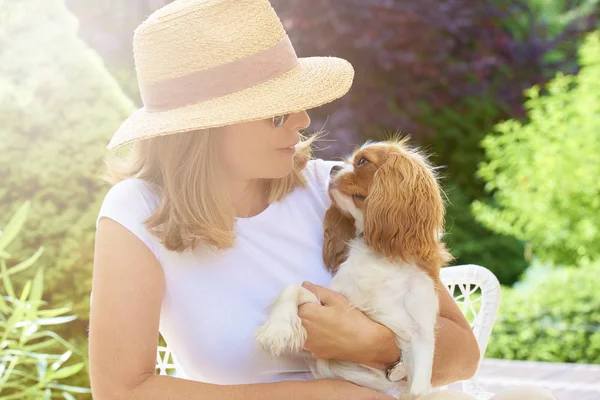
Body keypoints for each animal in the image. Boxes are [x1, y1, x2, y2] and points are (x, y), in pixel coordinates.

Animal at [255, 137, 452, 396]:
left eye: (362, 161)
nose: (333, 168)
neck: (378, 252)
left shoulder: (420, 334)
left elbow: (418, 390)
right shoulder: (336, 299)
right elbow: (293, 288)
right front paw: (277, 330)